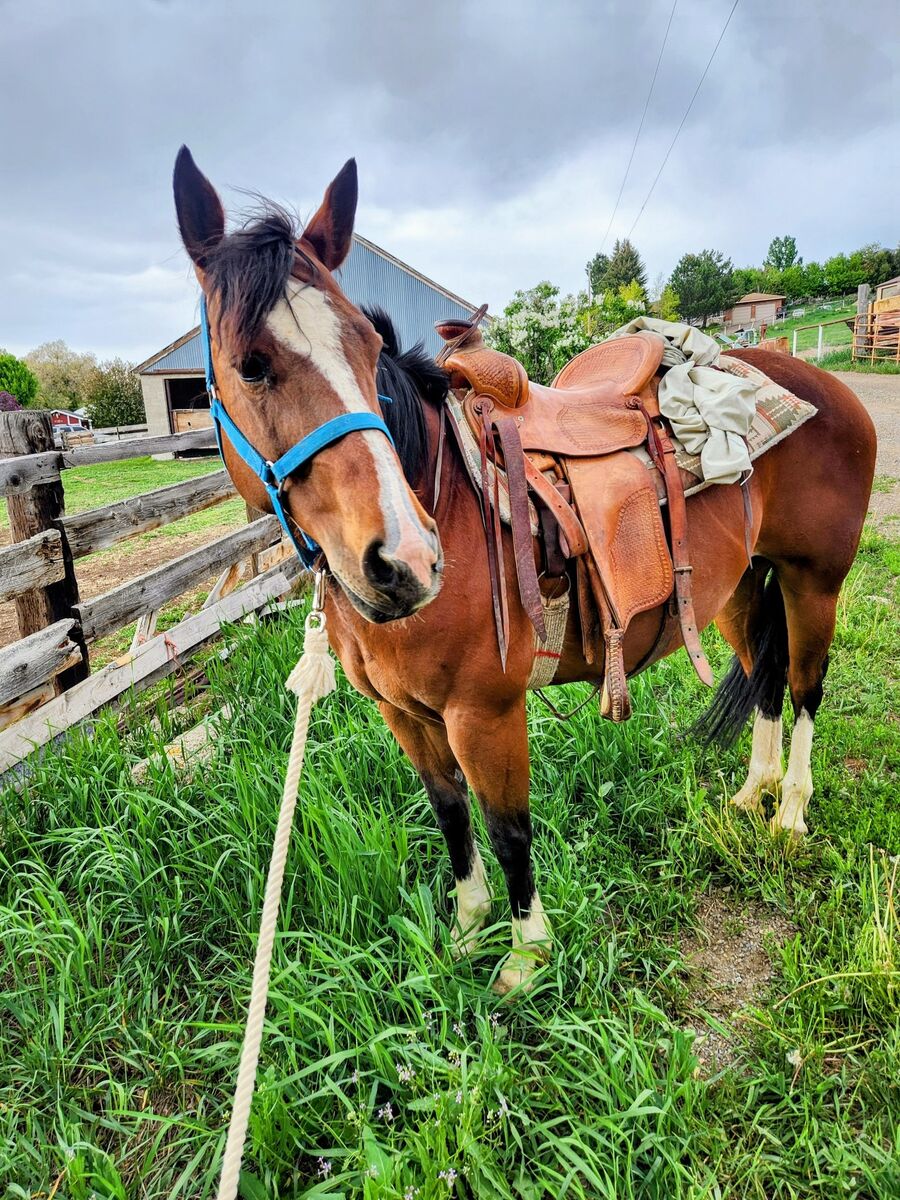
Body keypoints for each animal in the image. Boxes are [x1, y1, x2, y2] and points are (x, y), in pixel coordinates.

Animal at [173, 148, 877, 994]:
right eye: (250, 366)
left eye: (371, 351)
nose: (406, 561)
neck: (446, 490)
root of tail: (830, 390)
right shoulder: (406, 715)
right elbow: (450, 815)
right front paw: (466, 932)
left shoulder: (485, 714)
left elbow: (509, 829)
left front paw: (525, 957)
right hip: (739, 585)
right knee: (767, 674)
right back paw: (752, 793)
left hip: (814, 582)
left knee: (805, 686)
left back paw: (792, 811)